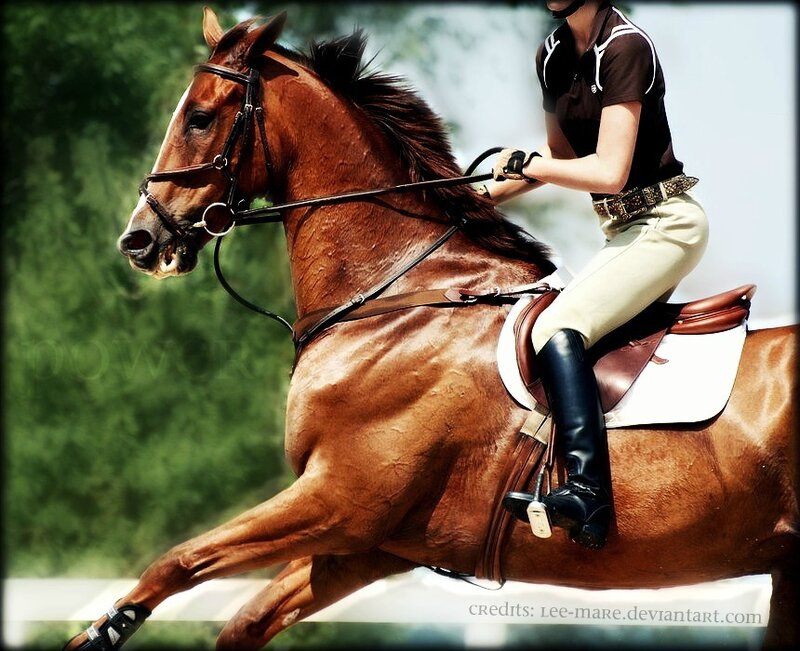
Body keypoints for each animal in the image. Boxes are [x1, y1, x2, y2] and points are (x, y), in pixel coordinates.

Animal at [67, 8, 798, 650]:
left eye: (200, 117)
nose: (140, 240)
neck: (398, 297)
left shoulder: (340, 499)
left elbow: (177, 560)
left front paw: (100, 629)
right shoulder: (373, 540)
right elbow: (242, 619)